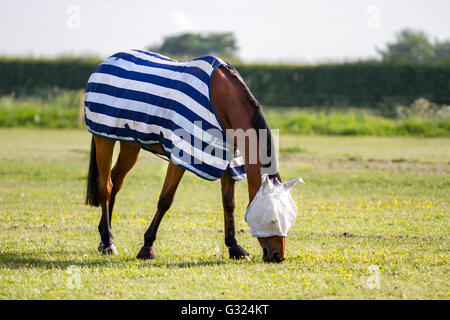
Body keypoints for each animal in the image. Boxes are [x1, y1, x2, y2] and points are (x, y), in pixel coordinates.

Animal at [84, 48, 286, 262]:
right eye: (273, 219)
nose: (278, 255)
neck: (218, 100)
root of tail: (103, 64)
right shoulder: (181, 155)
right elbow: (165, 200)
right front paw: (147, 246)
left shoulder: (226, 158)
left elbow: (229, 203)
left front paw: (235, 247)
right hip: (104, 140)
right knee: (105, 188)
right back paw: (107, 242)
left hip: (130, 145)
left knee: (115, 183)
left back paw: (105, 238)